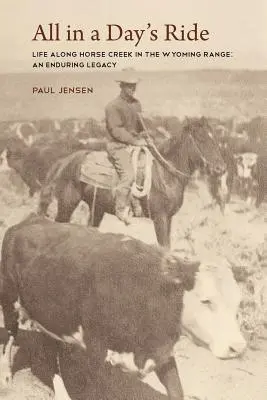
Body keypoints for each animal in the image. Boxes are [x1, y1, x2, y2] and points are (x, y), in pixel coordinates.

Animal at [38, 116, 225, 247]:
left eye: (215, 138)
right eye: (201, 138)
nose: (220, 169)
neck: (165, 173)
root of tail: (64, 161)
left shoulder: (169, 218)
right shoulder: (160, 218)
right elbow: (164, 247)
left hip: (96, 209)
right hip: (67, 204)